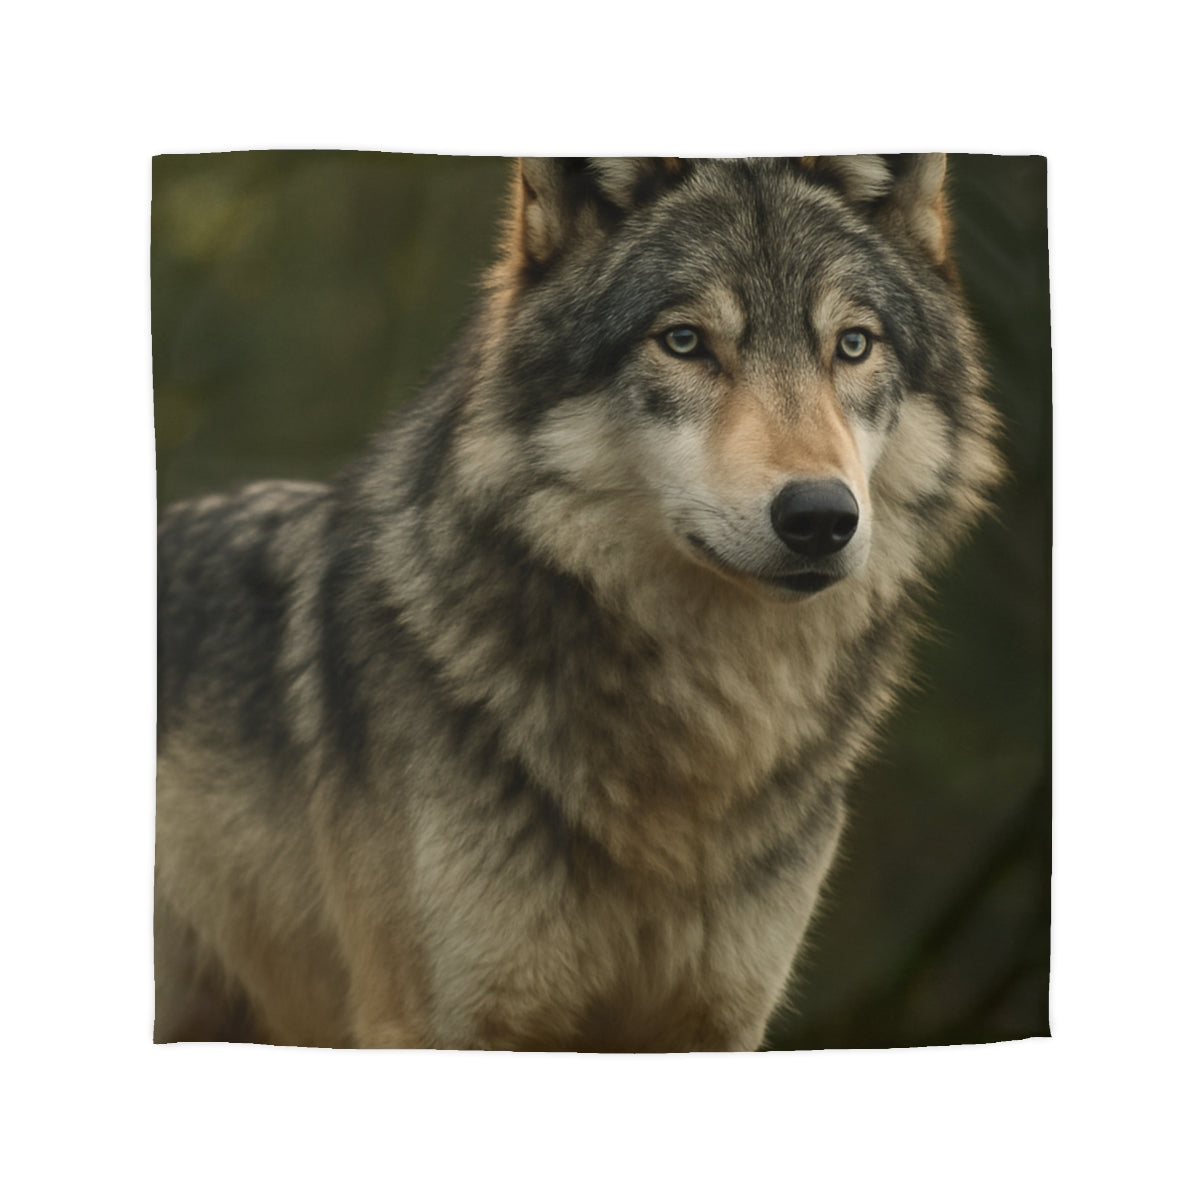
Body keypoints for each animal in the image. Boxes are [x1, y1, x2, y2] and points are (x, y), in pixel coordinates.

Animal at [155, 156, 1003, 1050]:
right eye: (683, 341)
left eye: (852, 344)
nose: (819, 517)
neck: (705, 741)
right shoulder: (439, 1024)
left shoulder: (715, 1025)